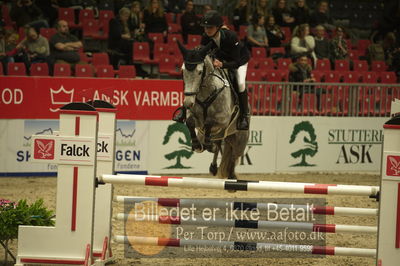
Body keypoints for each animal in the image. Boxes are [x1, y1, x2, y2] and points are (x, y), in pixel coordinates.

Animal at [177, 42, 247, 179]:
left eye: (200, 72)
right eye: (183, 71)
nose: (188, 103)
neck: (206, 92)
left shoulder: (223, 119)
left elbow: (209, 122)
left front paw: (207, 144)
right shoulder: (194, 117)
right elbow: (190, 122)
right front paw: (196, 145)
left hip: (239, 140)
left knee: (234, 155)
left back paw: (231, 174)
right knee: (219, 144)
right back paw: (213, 165)